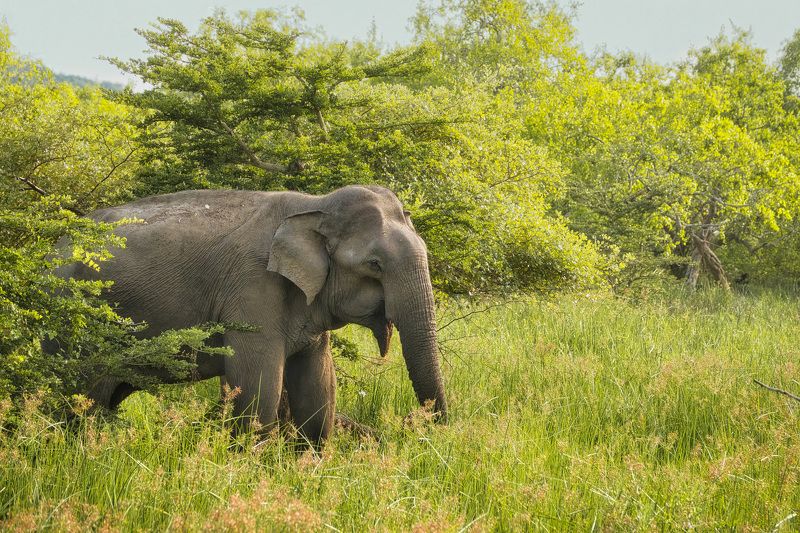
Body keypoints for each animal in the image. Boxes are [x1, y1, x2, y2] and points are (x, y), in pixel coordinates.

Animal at [58, 185, 448, 445]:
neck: (314, 205)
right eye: (374, 265)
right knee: (76, 401)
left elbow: (318, 387)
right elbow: (259, 391)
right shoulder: (251, 287)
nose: (421, 426)